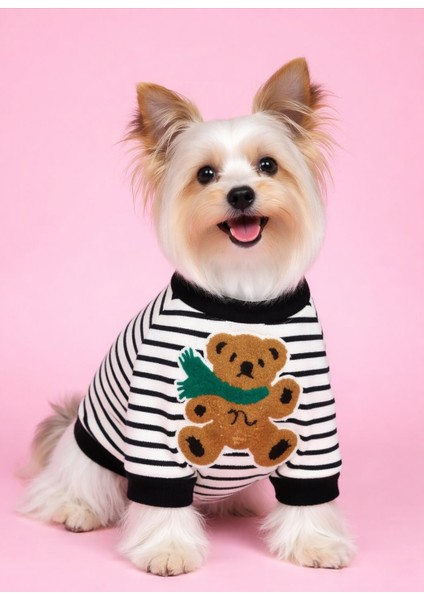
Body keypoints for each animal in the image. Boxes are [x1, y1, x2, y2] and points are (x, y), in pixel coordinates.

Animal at [177, 333, 301, 469]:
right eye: (232, 357)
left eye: (261, 362)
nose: (246, 365)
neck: (242, 394)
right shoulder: (217, 399)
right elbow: (204, 406)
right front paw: (199, 408)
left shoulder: (267, 402)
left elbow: (278, 405)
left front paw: (286, 392)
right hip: (215, 432)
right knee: (206, 442)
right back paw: (195, 444)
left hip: (262, 433)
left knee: (269, 443)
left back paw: (279, 447)